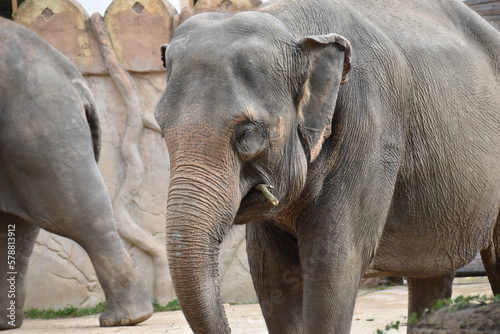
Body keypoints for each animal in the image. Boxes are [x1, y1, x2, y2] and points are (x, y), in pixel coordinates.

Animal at [156, 0, 500, 332]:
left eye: (247, 132)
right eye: (161, 128)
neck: (290, 24)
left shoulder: (371, 126)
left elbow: (333, 261)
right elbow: (268, 270)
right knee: (431, 273)